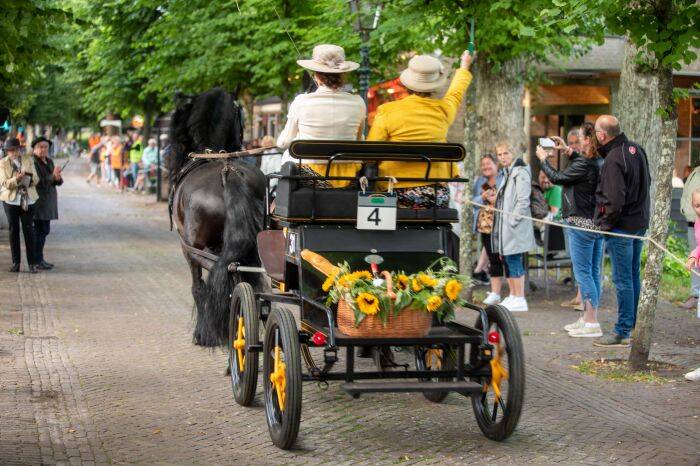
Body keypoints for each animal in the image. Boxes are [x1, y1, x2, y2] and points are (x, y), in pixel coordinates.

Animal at [170, 88, 268, 350]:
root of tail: (228, 173)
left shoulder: (188, 250)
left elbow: (198, 287)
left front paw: (202, 334)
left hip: (198, 249)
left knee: (224, 276)